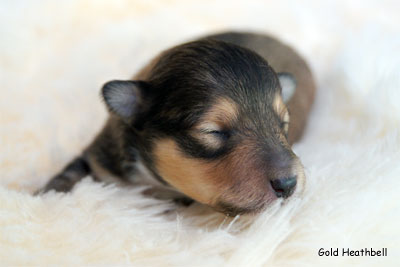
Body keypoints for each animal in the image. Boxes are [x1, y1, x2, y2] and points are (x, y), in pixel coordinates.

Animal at [39, 31, 318, 217]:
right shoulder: (100, 156)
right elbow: (68, 174)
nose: (287, 185)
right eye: (213, 131)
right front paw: (43, 196)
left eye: (283, 124)